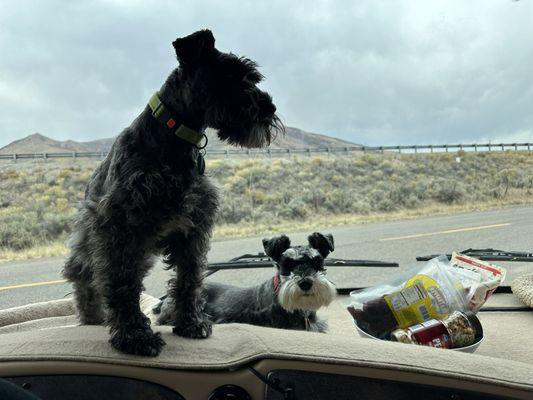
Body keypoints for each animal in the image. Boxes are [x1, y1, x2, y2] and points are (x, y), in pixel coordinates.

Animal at [62, 30, 282, 356]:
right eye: (233, 76)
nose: (269, 108)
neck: (174, 138)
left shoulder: (194, 228)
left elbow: (189, 278)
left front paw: (190, 322)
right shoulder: (120, 227)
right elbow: (122, 283)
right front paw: (134, 335)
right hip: (90, 239)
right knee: (82, 274)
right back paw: (92, 316)